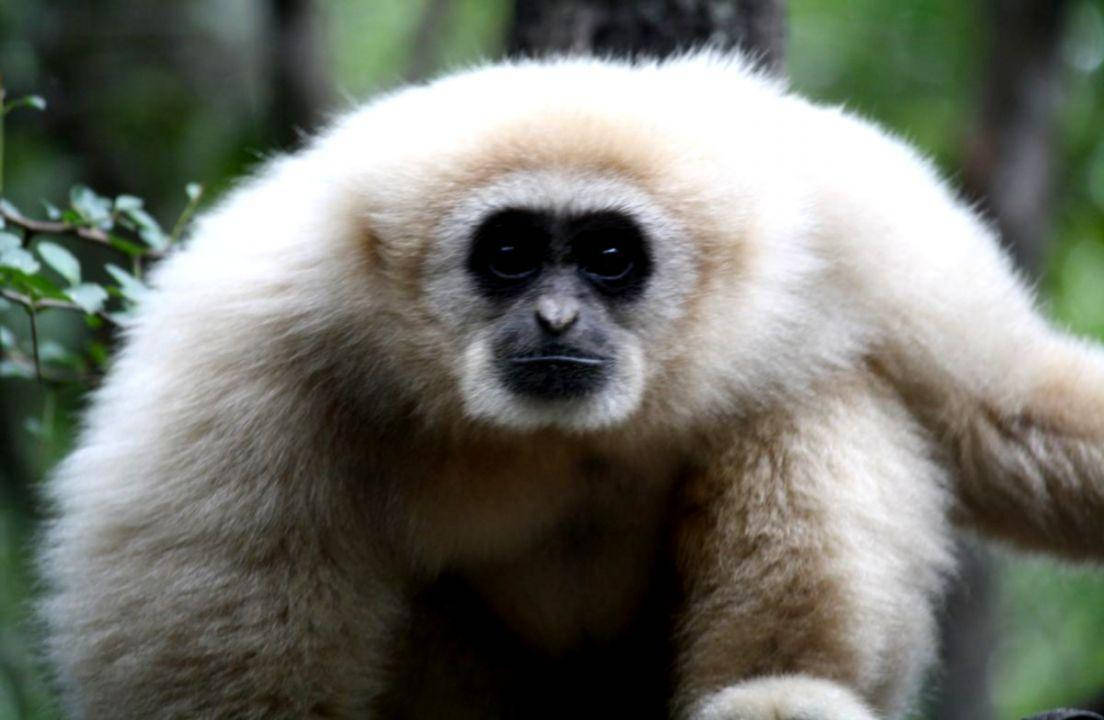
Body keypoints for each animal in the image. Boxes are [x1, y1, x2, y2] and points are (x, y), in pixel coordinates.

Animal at [38, 51, 1104, 720]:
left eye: (608, 257)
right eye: (508, 255)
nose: (555, 318)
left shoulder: (852, 217)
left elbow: (1012, 410)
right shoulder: (241, 364)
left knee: (818, 391)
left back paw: (781, 692)